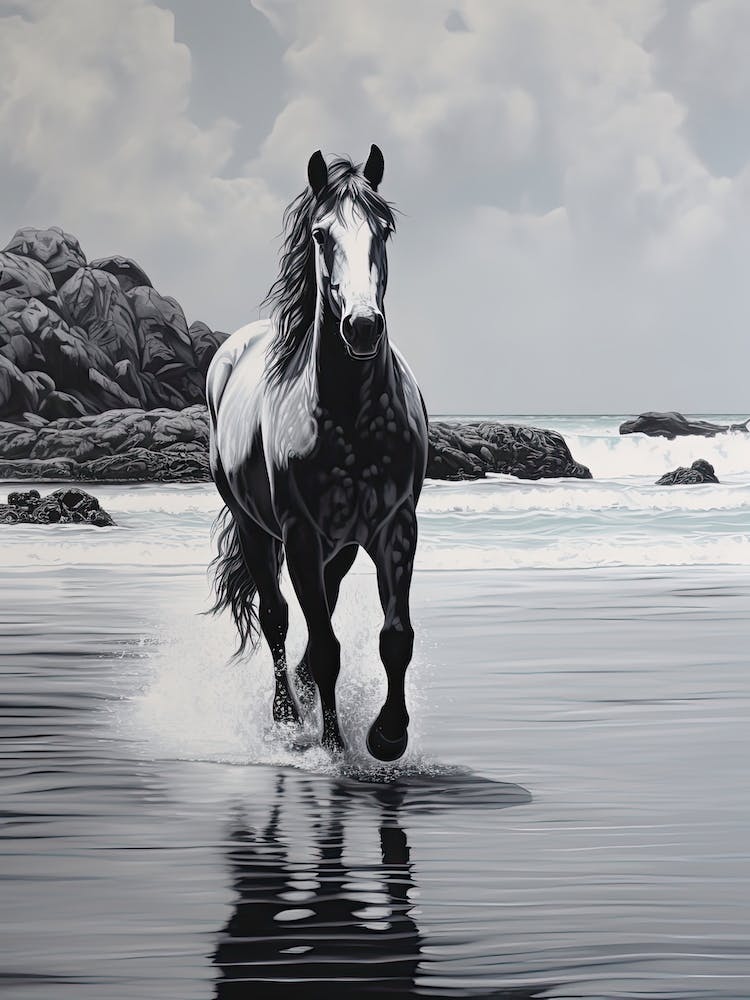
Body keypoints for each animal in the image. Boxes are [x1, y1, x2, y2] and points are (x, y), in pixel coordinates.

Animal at [206, 145, 428, 761]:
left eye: (384, 228)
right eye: (321, 233)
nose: (362, 326)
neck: (349, 417)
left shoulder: (395, 526)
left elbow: (395, 637)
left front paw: (387, 735)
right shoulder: (301, 532)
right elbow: (325, 645)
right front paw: (333, 744)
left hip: (341, 546)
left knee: (316, 610)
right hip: (258, 529)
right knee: (277, 617)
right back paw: (287, 714)